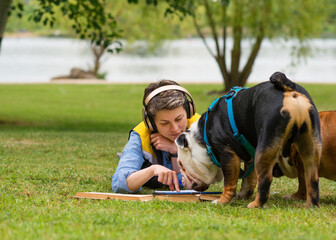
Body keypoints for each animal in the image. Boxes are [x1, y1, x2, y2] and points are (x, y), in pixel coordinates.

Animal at [175, 71, 322, 208]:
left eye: (181, 164)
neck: (202, 136)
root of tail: (288, 90)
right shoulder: (250, 158)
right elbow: (248, 180)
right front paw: (243, 195)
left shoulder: (228, 155)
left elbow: (229, 183)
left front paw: (222, 201)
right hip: (310, 143)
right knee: (311, 176)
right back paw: (311, 206)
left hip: (264, 148)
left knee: (265, 178)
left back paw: (256, 205)